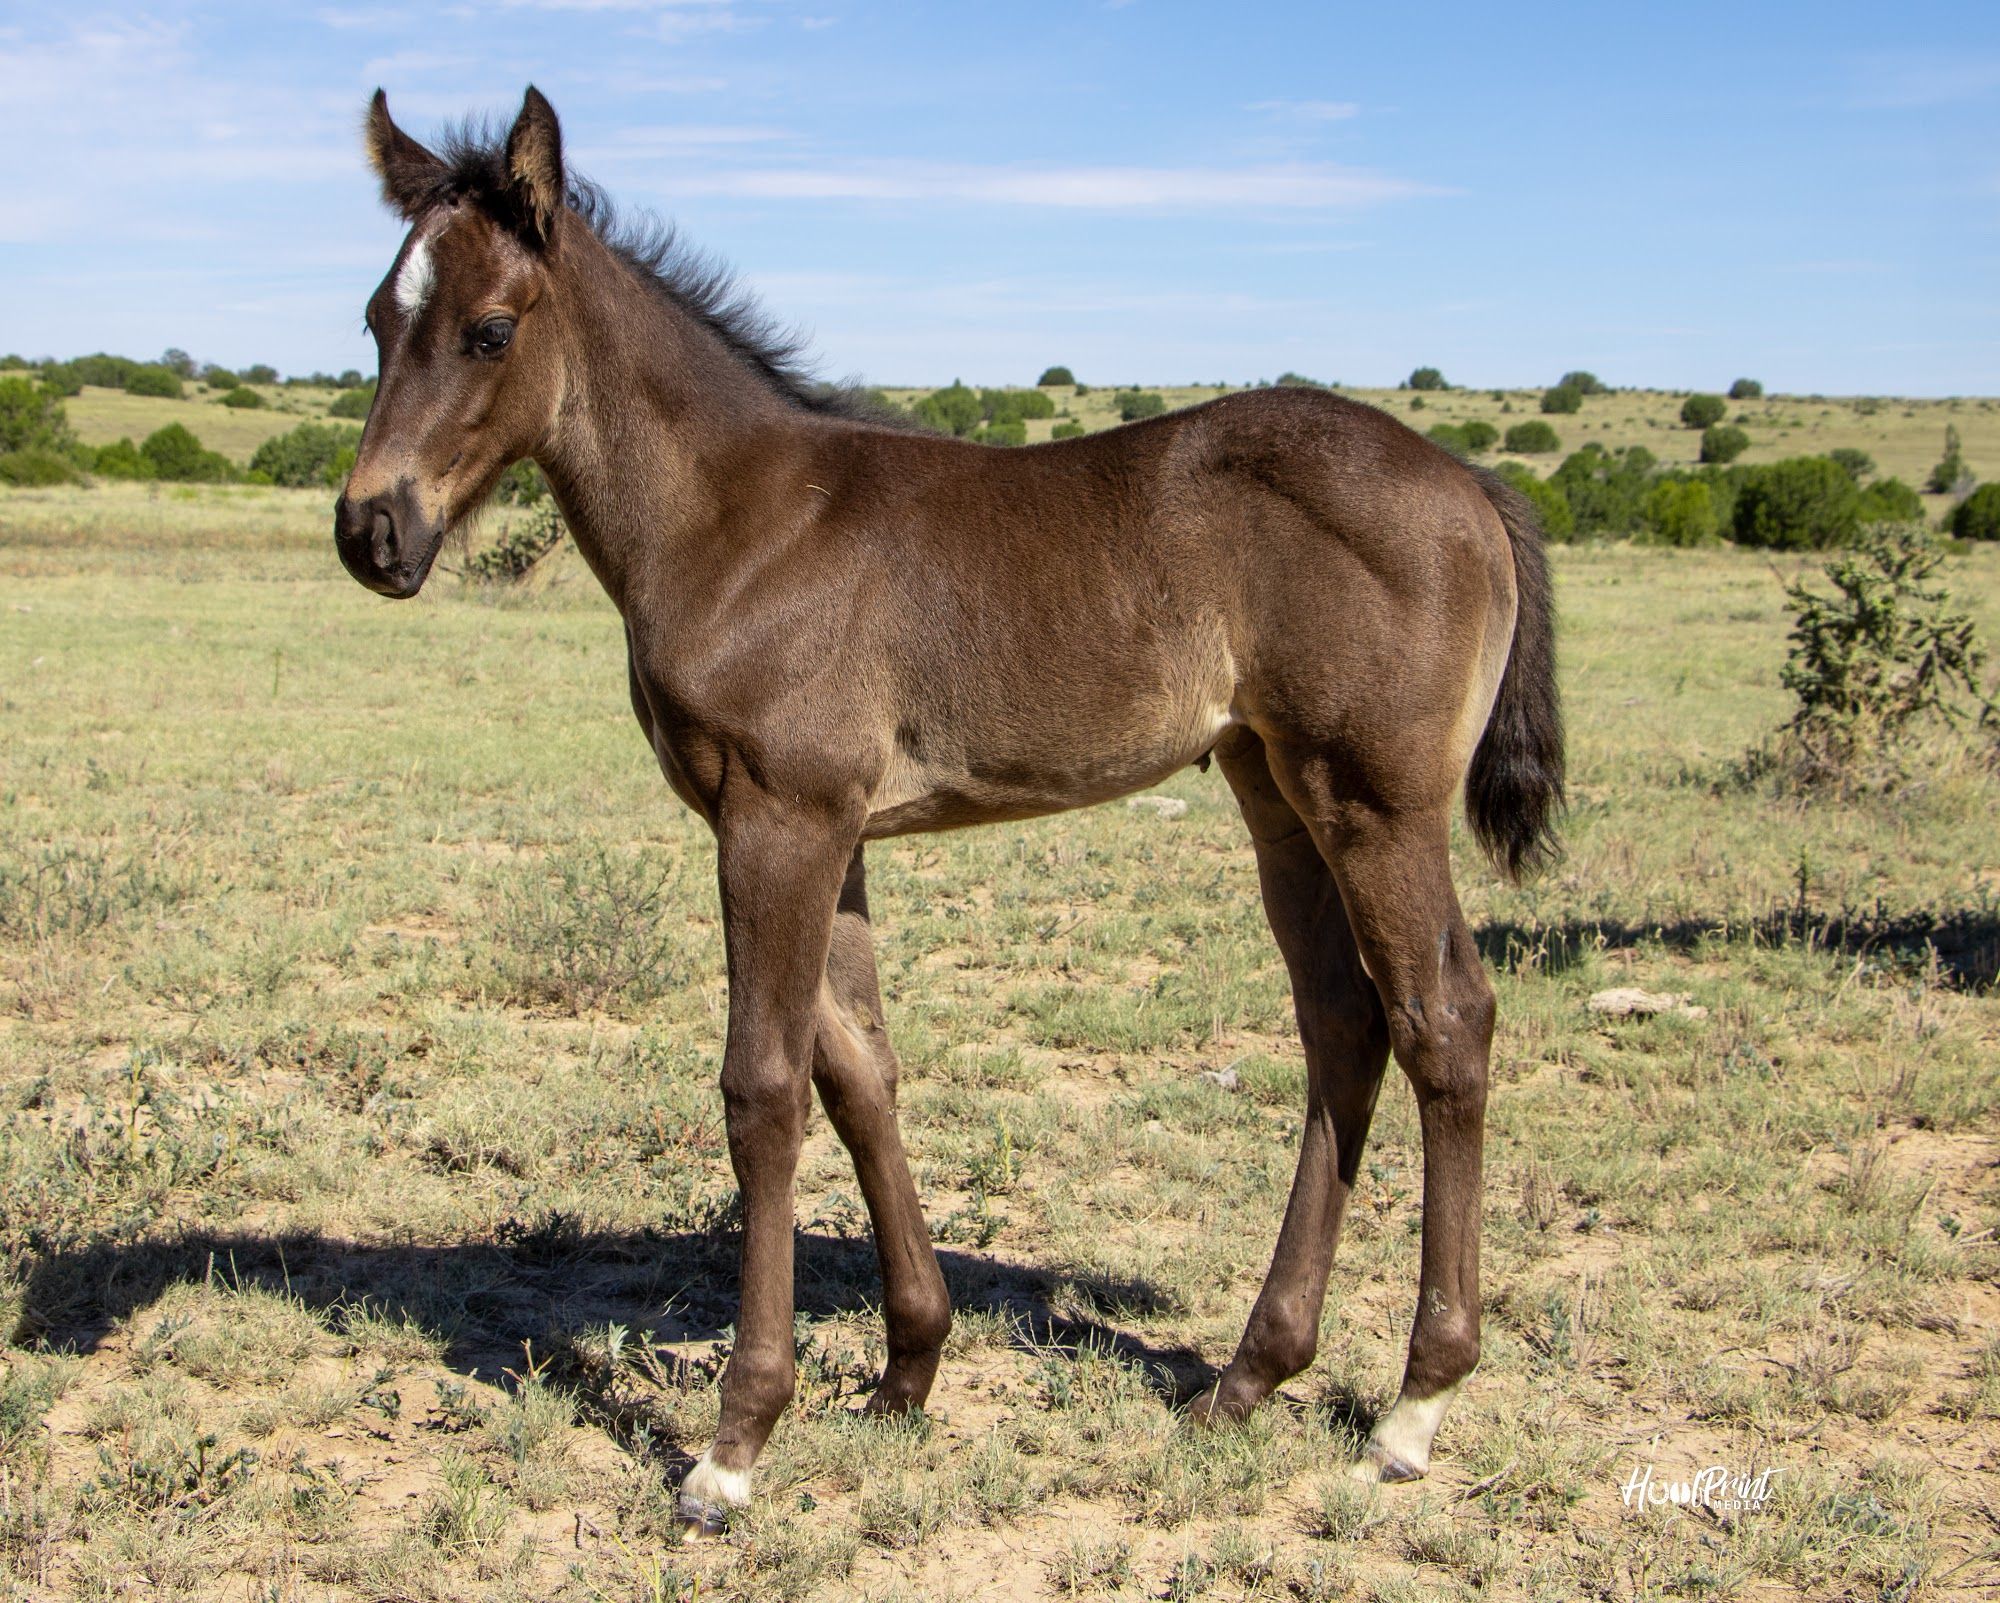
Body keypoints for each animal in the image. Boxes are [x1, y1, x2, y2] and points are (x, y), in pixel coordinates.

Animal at [335, 86, 1564, 1532]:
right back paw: (1247, 1375)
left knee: (1445, 1022)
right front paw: (908, 1367)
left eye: (490, 327)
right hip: (1280, 795)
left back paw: (1413, 1406)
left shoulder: (781, 819)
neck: (738, 521)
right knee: (1344, 1027)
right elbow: (860, 1073)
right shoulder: (825, 831)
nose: (370, 532)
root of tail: (1471, 484)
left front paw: (732, 1442)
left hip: (1377, 800)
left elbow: (763, 1089)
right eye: (376, 319)